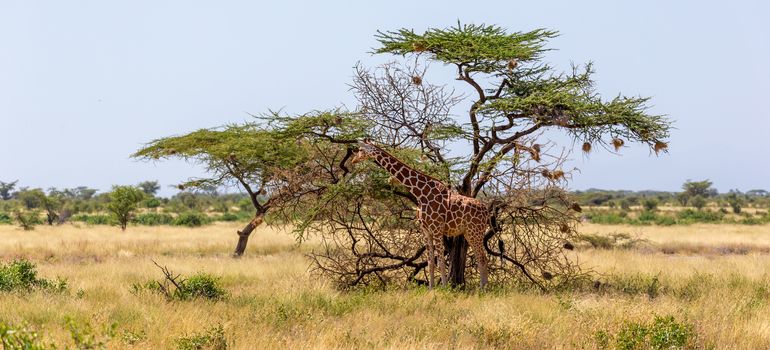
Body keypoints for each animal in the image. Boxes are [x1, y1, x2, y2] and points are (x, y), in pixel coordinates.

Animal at [352, 141, 488, 288]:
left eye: (360, 149)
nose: (353, 160)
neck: (420, 194)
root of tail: (486, 210)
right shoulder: (426, 231)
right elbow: (430, 262)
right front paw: (431, 289)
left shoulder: (437, 229)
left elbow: (441, 261)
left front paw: (444, 288)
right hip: (469, 233)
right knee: (481, 257)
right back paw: (483, 287)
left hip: (475, 232)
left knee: (482, 257)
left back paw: (483, 288)